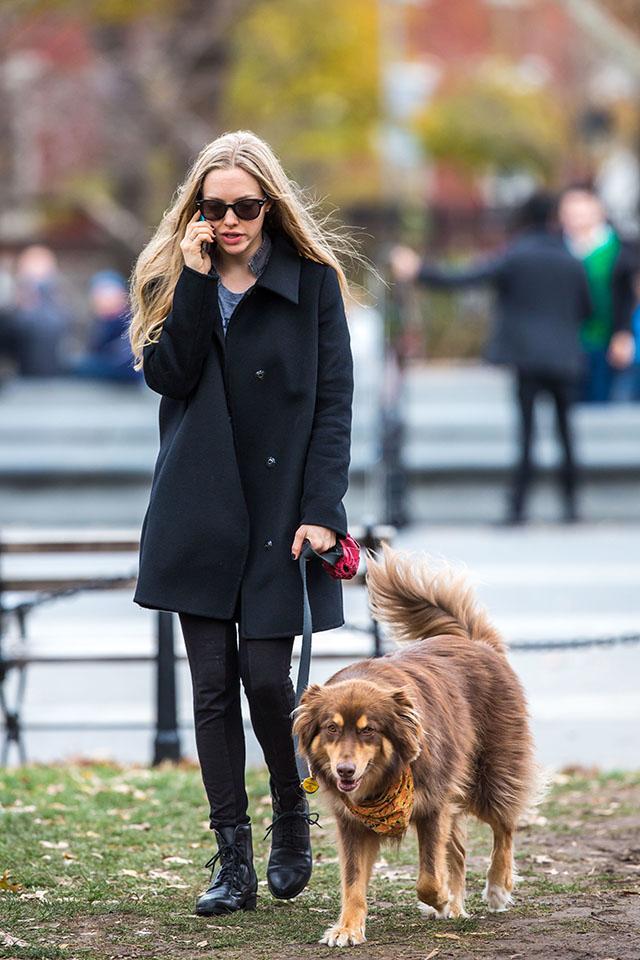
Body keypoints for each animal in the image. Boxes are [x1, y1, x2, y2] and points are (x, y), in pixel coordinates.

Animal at [292, 544, 536, 948]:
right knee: (459, 851)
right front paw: (348, 928)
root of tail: (473, 641)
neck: (384, 780)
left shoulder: (433, 805)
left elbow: (428, 878)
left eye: (369, 731)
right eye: (331, 728)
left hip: (491, 775)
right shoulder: (352, 823)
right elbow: (353, 881)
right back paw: (459, 905)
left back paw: (497, 888)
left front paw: (441, 900)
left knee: (505, 826)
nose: (344, 771)